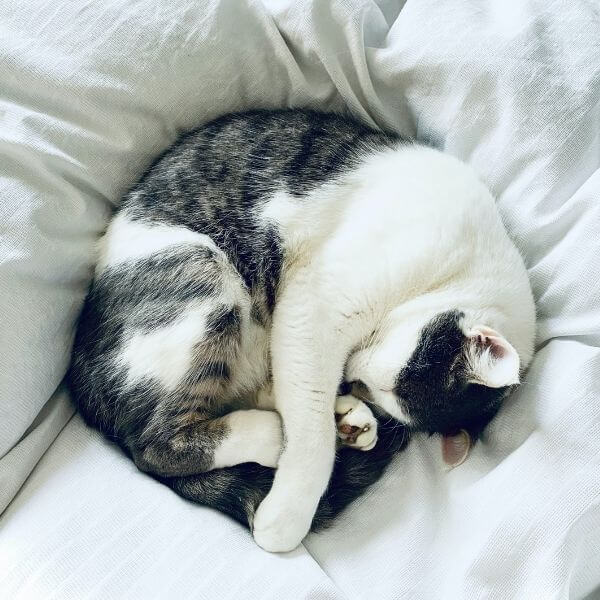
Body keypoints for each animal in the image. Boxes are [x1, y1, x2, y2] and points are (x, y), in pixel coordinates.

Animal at [68, 109, 536, 552]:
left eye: (380, 391)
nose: (354, 381)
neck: (459, 270)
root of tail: (80, 374)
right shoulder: (317, 304)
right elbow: (310, 425)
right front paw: (286, 517)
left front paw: (342, 411)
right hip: (203, 280)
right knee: (155, 444)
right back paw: (278, 435)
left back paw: (345, 421)